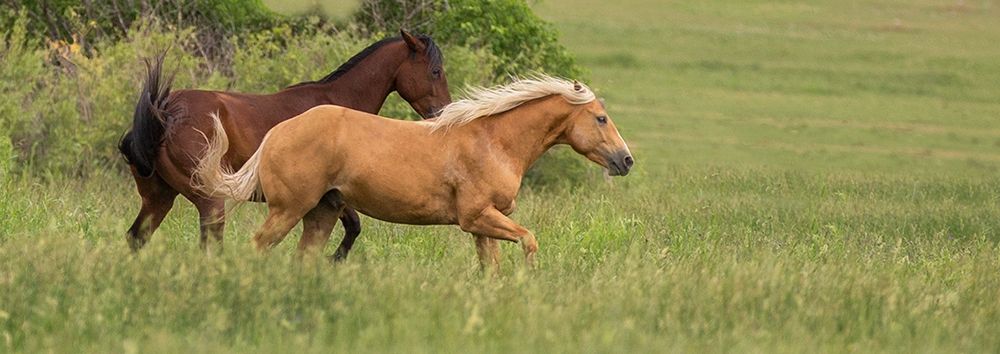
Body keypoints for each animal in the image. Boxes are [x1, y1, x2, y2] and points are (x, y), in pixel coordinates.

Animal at [115, 30, 452, 258]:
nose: (442, 113)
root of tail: (162, 113)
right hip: (210, 201)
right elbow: (353, 228)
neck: (338, 104)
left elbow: (352, 228)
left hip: (159, 198)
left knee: (136, 238)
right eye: (435, 71)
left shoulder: (329, 196)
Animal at [191, 75, 636, 268]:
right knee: (256, 247)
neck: (494, 141)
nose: (626, 160)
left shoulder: (482, 225)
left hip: (322, 213)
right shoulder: (477, 217)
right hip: (288, 210)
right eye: (600, 118)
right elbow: (529, 242)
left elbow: (490, 268)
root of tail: (278, 132)